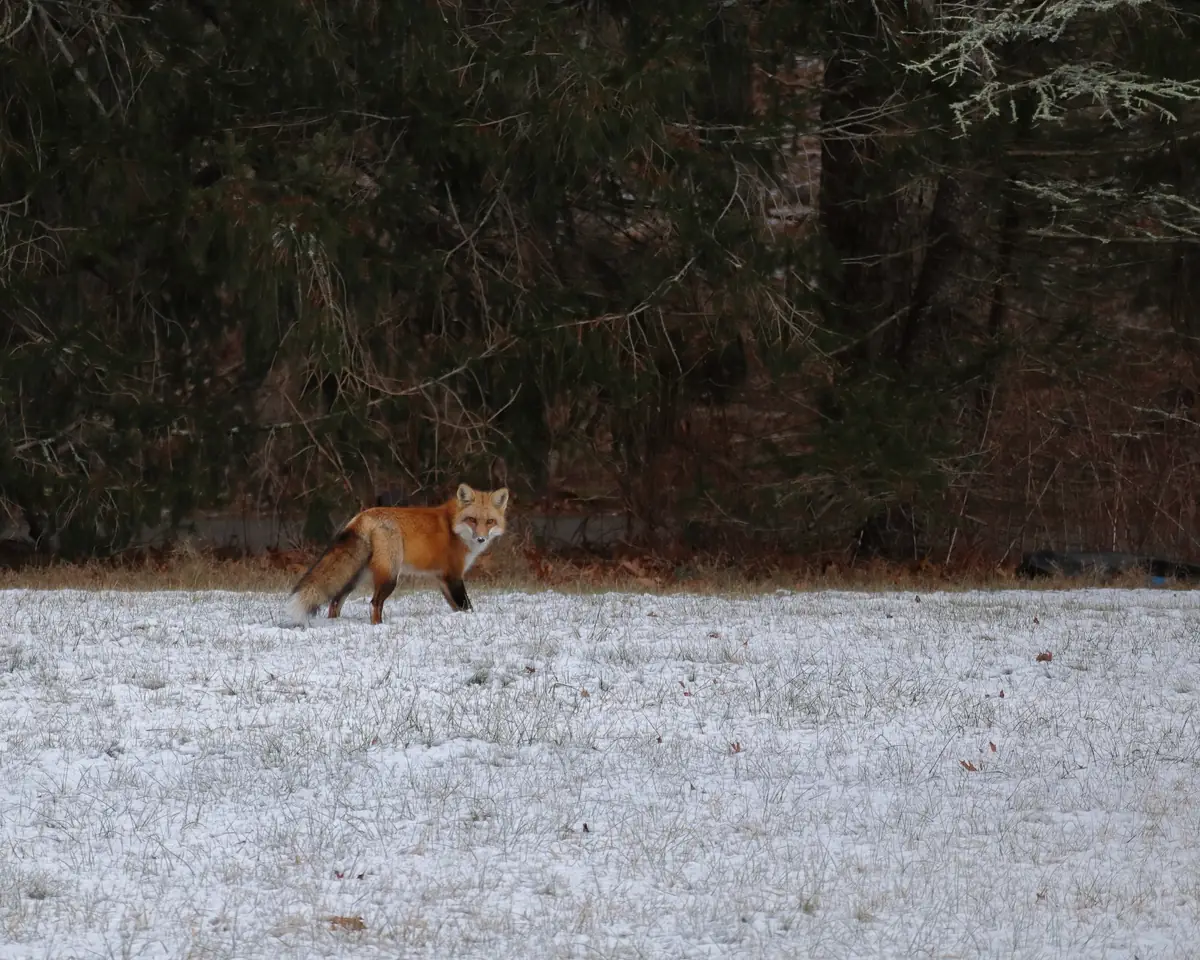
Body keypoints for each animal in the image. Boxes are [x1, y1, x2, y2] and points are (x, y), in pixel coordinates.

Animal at [287, 484, 509, 626]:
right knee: (374, 603)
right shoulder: (453, 576)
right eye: (472, 520)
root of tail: (362, 516)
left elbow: (456, 607)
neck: (453, 526)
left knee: (335, 600)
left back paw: (335, 623)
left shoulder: (442, 579)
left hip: (356, 576)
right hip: (390, 576)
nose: (481, 539)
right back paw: (379, 626)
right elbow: (467, 606)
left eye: (490, 521)